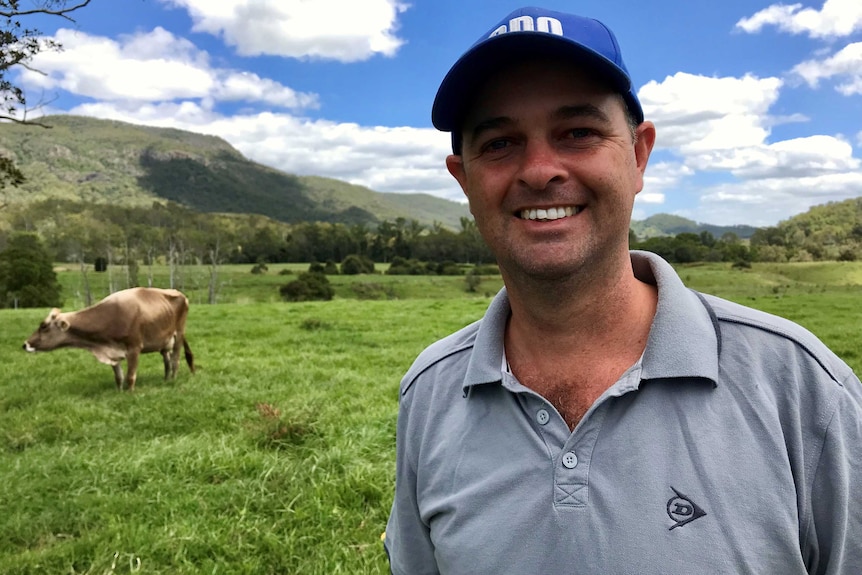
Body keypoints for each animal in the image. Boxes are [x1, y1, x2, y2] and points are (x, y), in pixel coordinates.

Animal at [23, 288, 196, 392]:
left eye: (44, 326)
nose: (25, 344)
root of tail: (179, 293)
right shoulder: (112, 351)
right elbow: (118, 377)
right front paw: (119, 392)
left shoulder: (134, 348)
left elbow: (130, 376)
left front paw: (129, 393)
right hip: (164, 341)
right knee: (167, 360)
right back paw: (166, 380)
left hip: (179, 334)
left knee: (175, 359)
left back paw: (172, 380)